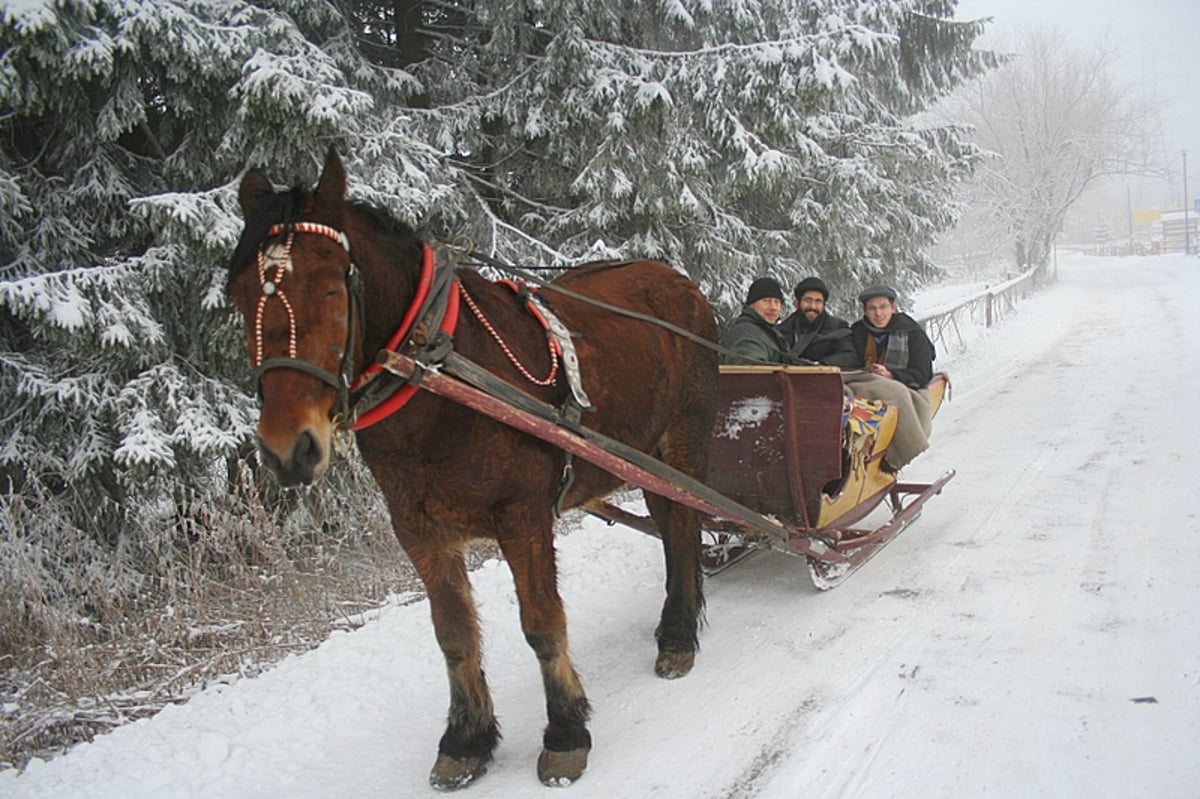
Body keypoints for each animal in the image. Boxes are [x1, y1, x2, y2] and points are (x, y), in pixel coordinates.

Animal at [225, 146, 715, 787]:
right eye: (236, 296)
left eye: (333, 286)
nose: (289, 448)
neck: (437, 378)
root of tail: (680, 280)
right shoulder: (419, 530)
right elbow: (454, 636)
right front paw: (466, 738)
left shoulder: (523, 516)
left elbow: (542, 625)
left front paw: (565, 732)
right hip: (642, 453)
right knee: (670, 524)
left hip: (680, 439)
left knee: (681, 526)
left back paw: (678, 634)